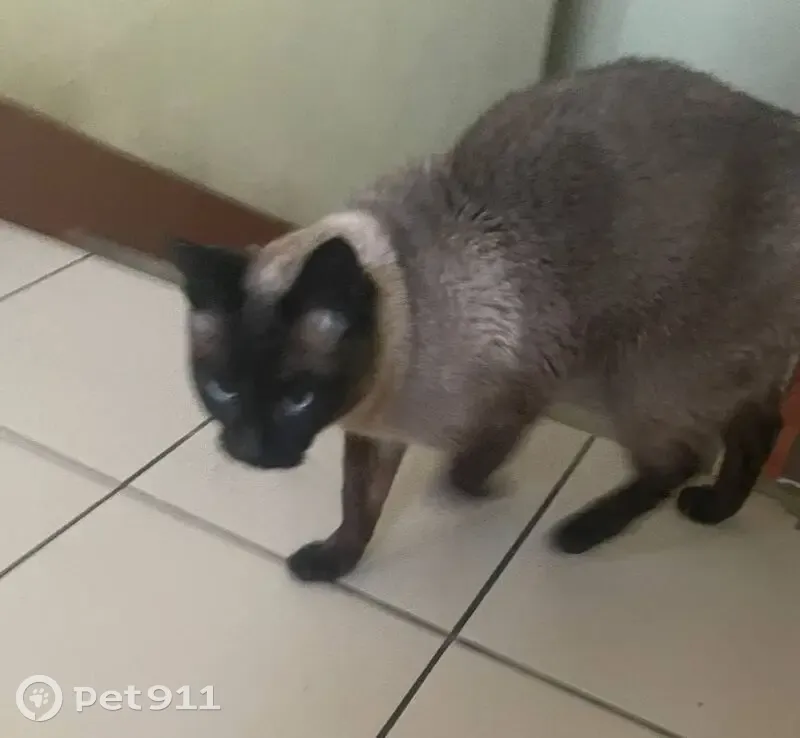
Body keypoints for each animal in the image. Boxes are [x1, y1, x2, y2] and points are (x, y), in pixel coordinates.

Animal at [172, 57, 799, 582]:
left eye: (297, 398)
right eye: (222, 389)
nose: (251, 451)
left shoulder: (522, 390)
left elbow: (460, 470)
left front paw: (488, 491)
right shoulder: (376, 433)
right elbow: (359, 506)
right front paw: (334, 564)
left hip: (641, 377)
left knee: (684, 458)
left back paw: (579, 534)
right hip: (718, 370)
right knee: (759, 428)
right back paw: (715, 510)